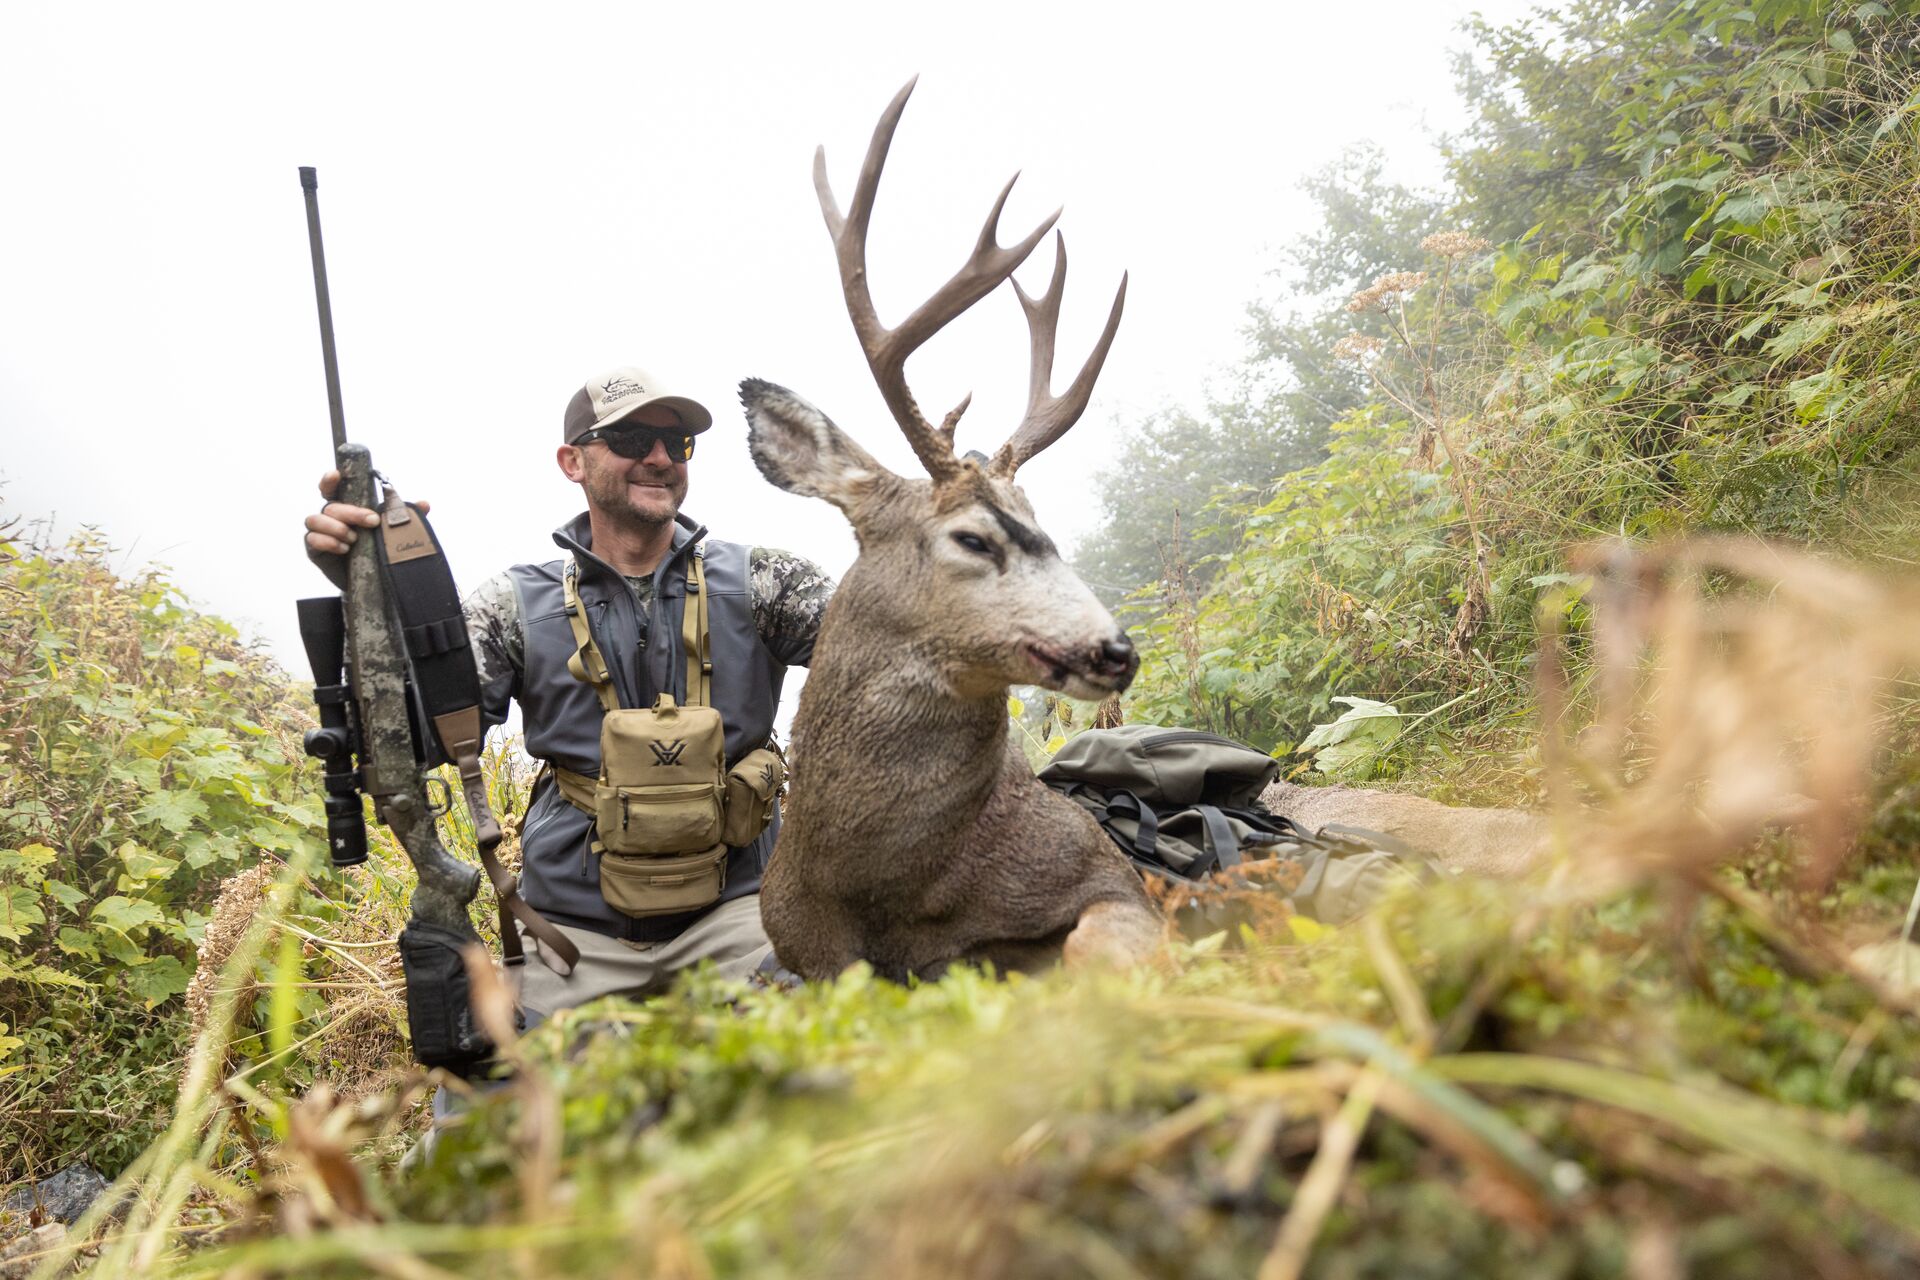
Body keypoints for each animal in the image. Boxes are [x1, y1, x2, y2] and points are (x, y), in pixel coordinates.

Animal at [739, 79, 1164, 983]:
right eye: (973, 538)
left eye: (1048, 526)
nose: (1117, 650)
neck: (886, 895)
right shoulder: (800, 950)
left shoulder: (1113, 880)